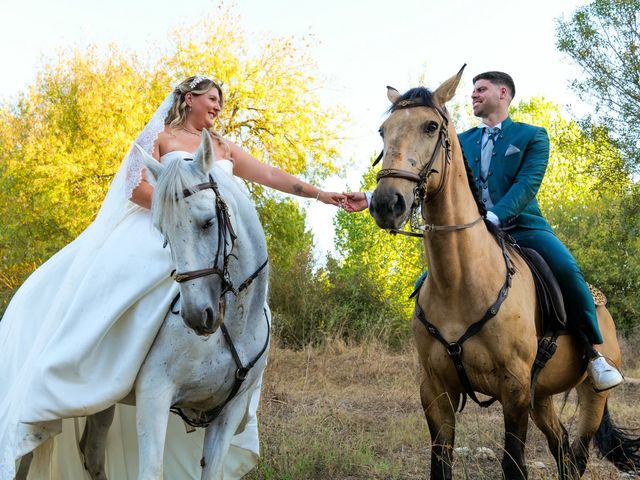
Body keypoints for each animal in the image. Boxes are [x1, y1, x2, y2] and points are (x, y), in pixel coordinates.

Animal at [15, 129, 270, 478]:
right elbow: (152, 470)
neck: (236, 325)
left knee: (92, 452)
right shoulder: (154, 396)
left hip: (102, 402)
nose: (196, 315)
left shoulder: (230, 411)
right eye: (163, 231)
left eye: (207, 222)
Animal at [368, 65, 636, 478]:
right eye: (384, 131)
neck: (459, 281)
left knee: (576, 456)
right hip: (541, 396)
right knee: (561, 447)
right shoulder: (436, 390)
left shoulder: (514, 389)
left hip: (591, 397)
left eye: (431, 126)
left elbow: (514, 465)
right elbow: (440, 465)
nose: (386, 203)